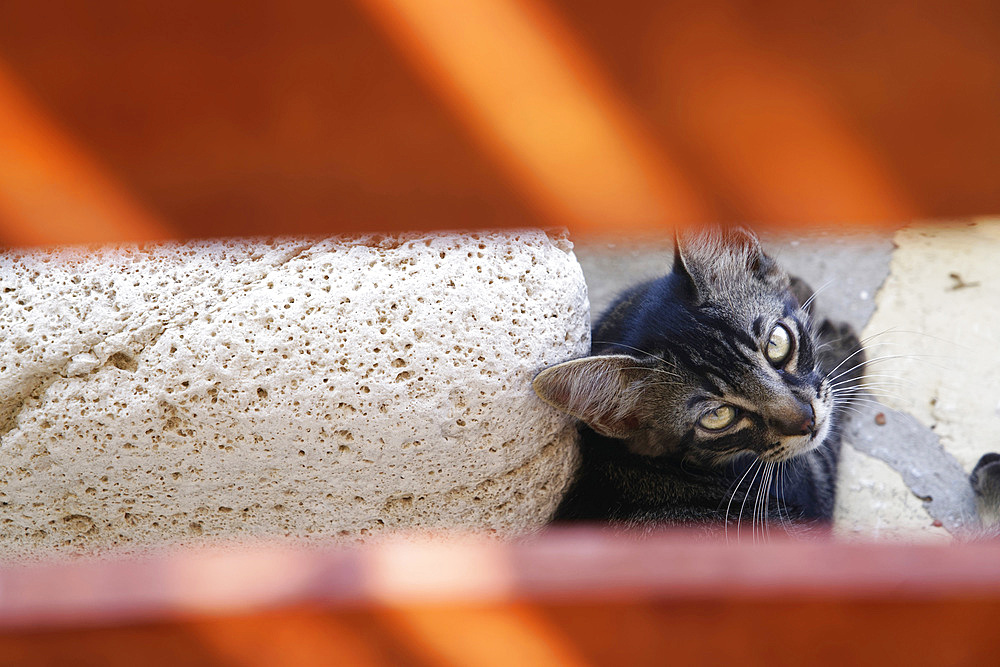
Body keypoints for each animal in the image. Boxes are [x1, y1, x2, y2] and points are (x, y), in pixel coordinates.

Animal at [536, 227, 864, 536]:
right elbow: (828, 438)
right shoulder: (812, 486)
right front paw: (839, 344)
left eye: (776, 343)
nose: (808, 421)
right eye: (718, 415)